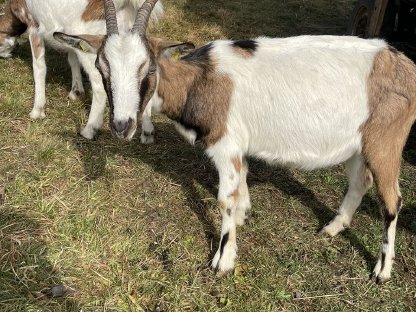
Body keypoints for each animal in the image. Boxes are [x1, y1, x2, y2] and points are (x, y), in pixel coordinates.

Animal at [0, 0, 162, 141]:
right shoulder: (71, 38)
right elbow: (72, 58)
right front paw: (76, 91)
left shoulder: (34, 25)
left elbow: (39, 67)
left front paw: (37, 111)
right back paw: (147, 132)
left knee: (99, 85)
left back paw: (90, 129)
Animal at [55, 0, 416, 282]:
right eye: (101, 66)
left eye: (148, 68)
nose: (122, 125)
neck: (199, 82)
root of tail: (406, 64)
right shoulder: (237, 148)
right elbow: (241, 185)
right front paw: (244, 215)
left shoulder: (225, 145)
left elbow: (224, 200)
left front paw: (222, 260)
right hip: (358, 143)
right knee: (360, 182)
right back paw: (332, 228)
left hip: (386, 140)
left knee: (392, 200)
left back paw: (382, 270)